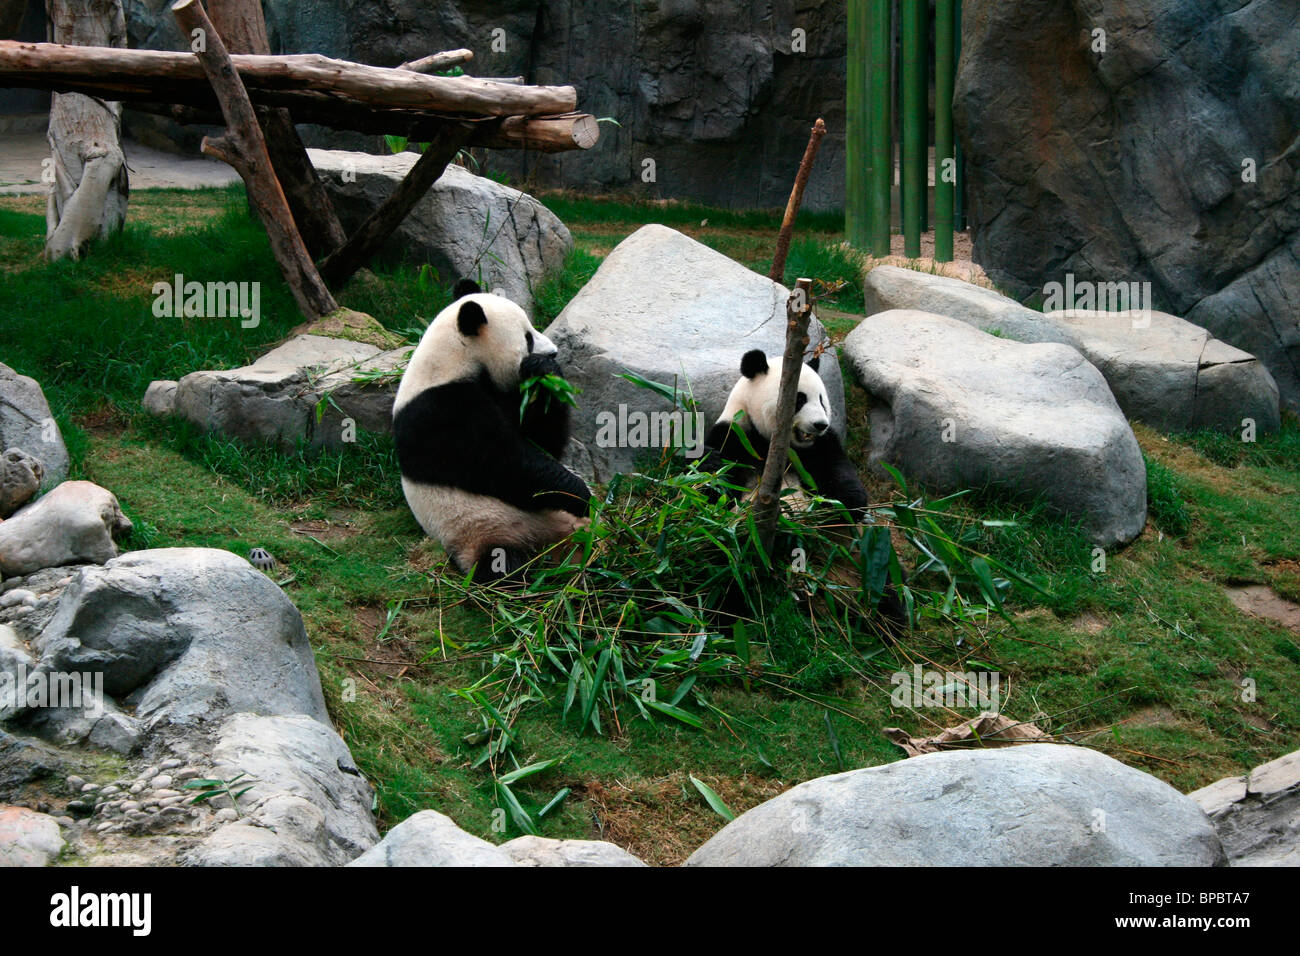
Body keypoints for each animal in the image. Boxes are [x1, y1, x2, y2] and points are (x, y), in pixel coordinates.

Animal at [392, 279, 592, 581]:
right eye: (527, 338)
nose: (554, 352)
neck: (454, 359)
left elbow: (544, 442)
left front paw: (544, 372)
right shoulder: (441, 412)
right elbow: (506, 464)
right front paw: (580, 495)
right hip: (480, 532)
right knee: (501, 563)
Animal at [701, 349, 869, 520]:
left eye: (821, 400)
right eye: (800, 399)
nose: (820, 424)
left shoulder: (822, 444)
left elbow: (839, 473)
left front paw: (843, 505)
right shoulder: (735, 435)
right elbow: (712, 491)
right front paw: (711, 463)